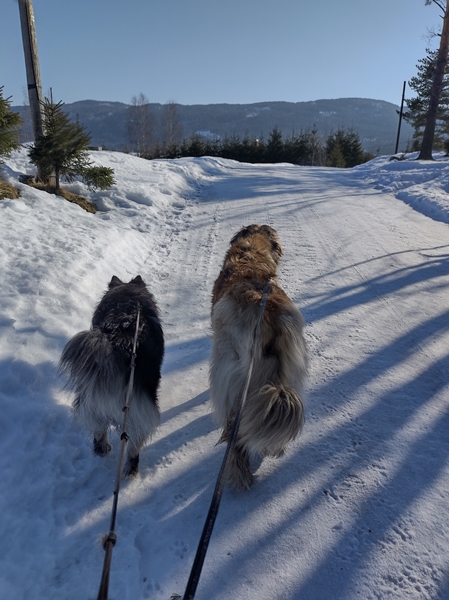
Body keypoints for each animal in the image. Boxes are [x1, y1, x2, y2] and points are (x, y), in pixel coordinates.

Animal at [60, 276, 164, 478]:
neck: (127, 300)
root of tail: (118, 342)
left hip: (90, 400)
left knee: (98, 428)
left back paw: (102, 447)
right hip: (139, 410)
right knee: (134, 446)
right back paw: (131, 469)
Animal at [210, 223, 308, 490]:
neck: (250, 256)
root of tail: (271, 321)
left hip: (233, 375)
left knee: (234, 431)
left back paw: (238, 472)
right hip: (289, 373)